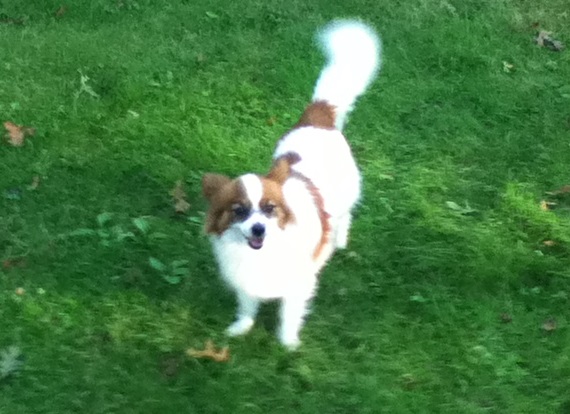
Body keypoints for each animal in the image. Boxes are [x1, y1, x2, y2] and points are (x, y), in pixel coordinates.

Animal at [202, 20, 381, 349]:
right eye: (239, 211)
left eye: (270, 208)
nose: (258, 229)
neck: (264, 250)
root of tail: (317, 117)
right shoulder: (246, 281)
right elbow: (247, 306)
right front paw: (241, 328)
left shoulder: (298, 282)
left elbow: (289, 313)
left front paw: (287, 344)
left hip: (347, 194)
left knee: (345, 216)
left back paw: (339, 240)